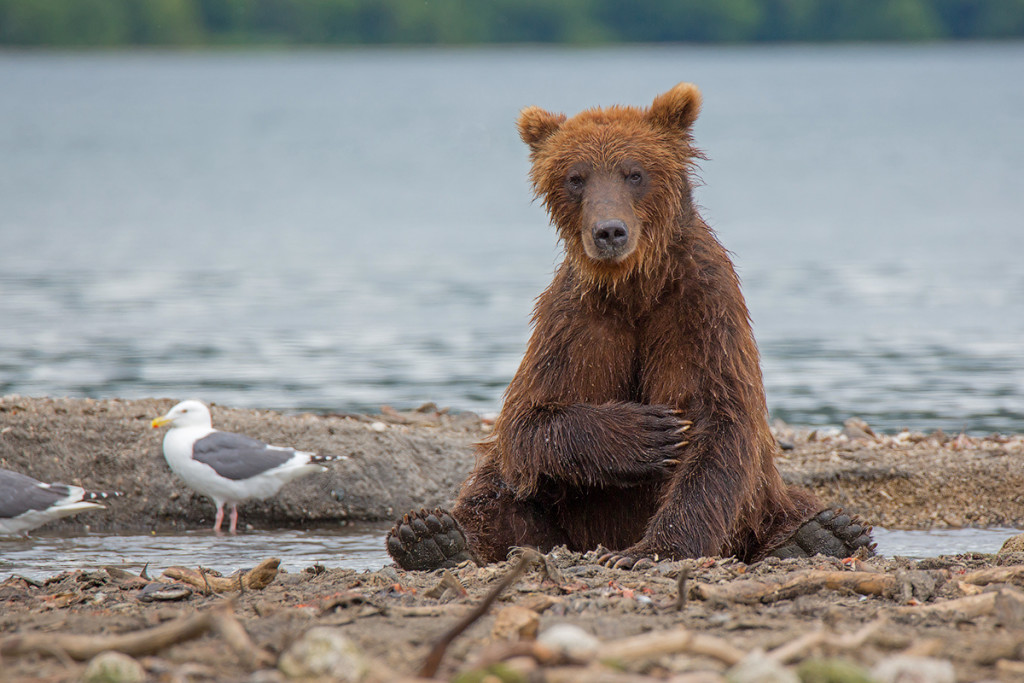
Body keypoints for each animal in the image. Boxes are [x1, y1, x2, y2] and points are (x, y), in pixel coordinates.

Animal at [385, 81, 872, 573]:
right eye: (576, 177)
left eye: (634, 173)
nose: (609, 231)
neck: (636, 286)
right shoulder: (576, 321)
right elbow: (528, 420)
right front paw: (647, 433)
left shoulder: (702, 311)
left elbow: (720, 426)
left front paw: (650, 550)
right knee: (496, 484)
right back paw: (434, 538)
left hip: (762, 499)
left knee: (786, 502)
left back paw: (821, 535)